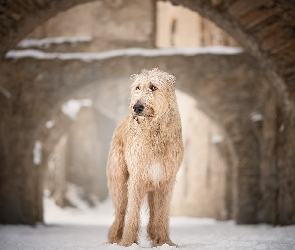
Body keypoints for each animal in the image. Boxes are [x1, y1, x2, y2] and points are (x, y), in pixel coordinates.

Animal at [107, 68, 184, 246]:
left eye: (153, 87)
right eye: (137, 87)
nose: (137, 107)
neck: (155, 133)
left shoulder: (166, 180)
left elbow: (162, 215)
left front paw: (165, 242)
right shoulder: (137, 177)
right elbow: (133, 214)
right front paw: (128, 243)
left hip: (153, 187)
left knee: (154, 215)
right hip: (118, 181)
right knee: (121, 212)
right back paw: (114, 239)